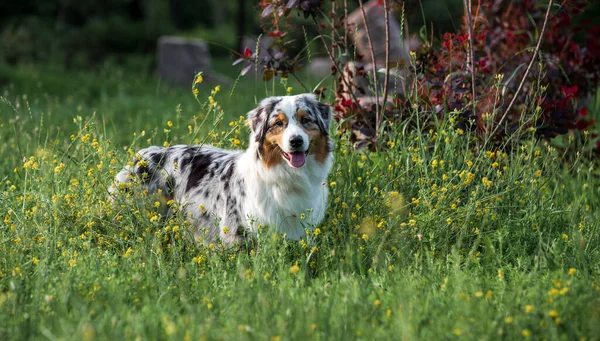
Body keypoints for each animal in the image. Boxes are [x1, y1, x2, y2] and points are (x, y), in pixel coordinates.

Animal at [110, 93, 336, 244]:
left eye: (306, 120)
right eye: (278, 123)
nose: (296, 141)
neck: (287, 176)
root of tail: (141, 155)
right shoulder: (236, 230)